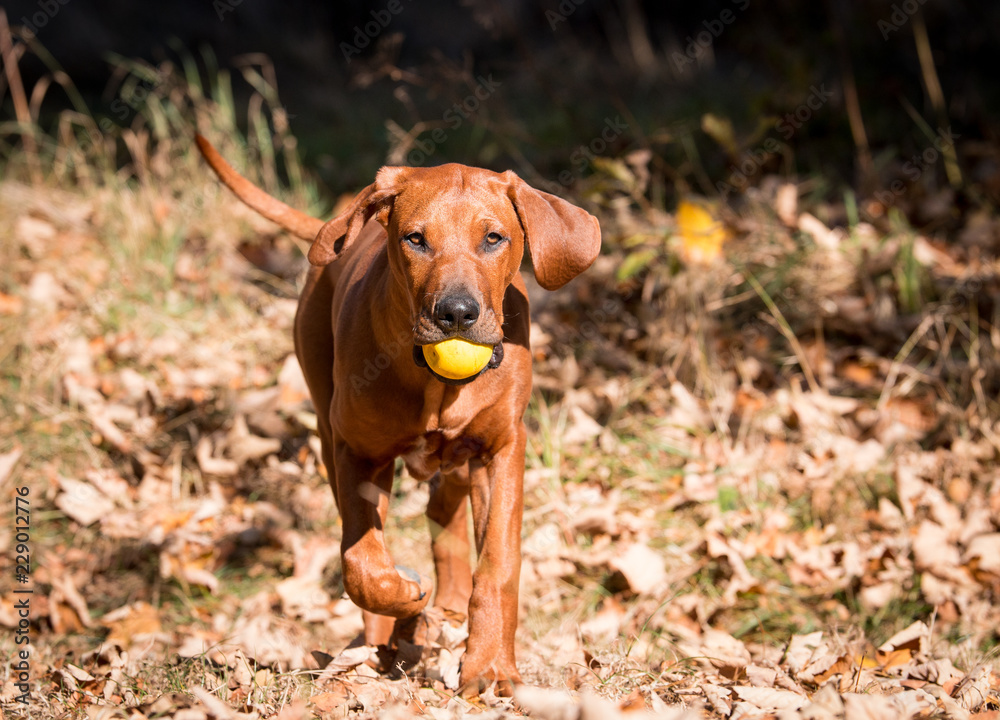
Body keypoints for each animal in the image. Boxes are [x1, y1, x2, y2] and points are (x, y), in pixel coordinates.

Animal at [196, 135, 600, 692]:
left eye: (493, 238)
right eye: (416, 239)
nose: (456, 314)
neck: (435, 383)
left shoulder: (502, 448)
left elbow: (498, 563)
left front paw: (491, 664)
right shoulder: (357, 453)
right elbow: (360, 559)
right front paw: (401, 600)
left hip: (461, 460)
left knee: (447, 521)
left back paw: (448, 610)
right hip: (328, 423)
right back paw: (388, 638)